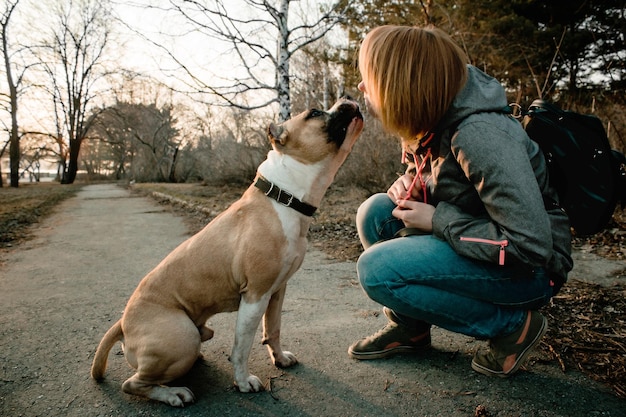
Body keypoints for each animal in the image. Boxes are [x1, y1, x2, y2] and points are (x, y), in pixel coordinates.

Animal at [88, 96, 360, 404]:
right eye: (314, 113)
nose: (349, 97)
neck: (284, 196)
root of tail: (122, 323)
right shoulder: (254, 296)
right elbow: (241, 347)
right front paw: (243, 382)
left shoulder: (277, 290)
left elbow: (273, 328)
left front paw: (279, 359)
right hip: (182, 336)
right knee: (133, 383)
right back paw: (173, 394)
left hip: (198, 333)